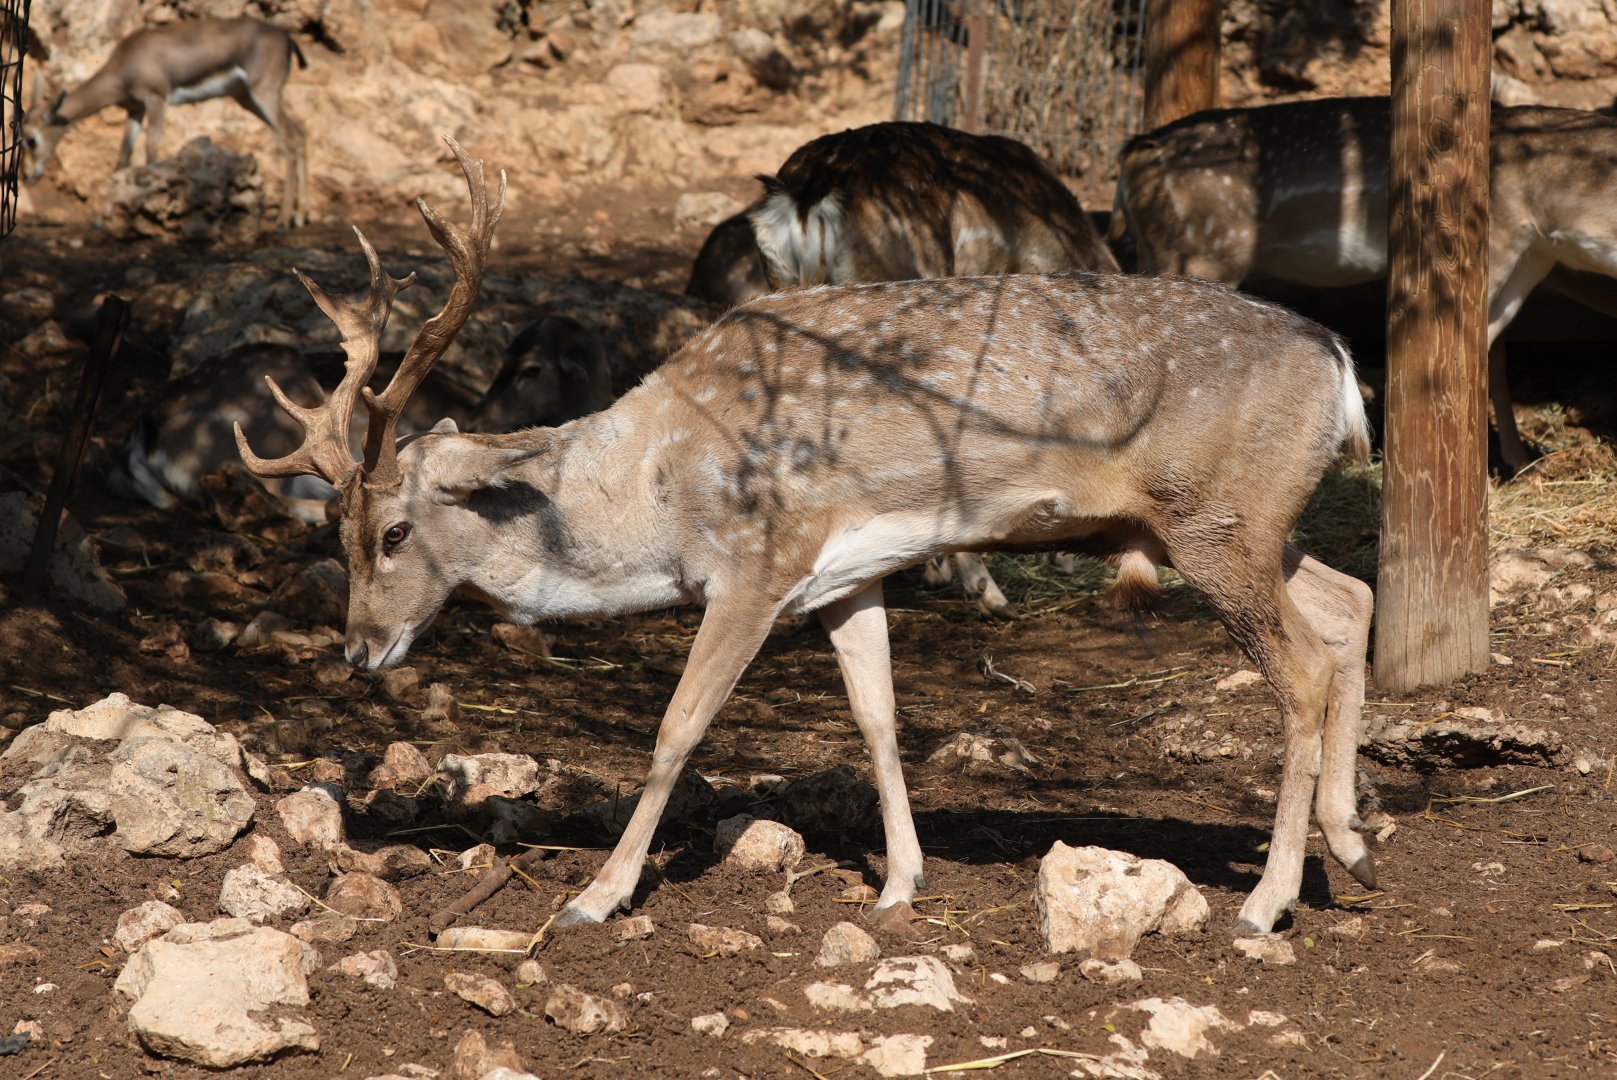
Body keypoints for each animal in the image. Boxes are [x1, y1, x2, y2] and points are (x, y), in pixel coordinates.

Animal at [22, 17, 309, 229]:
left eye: (31, 140)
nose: (28, 175)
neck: (124, 66)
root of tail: (286, 36)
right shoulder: (135, 109)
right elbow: (122, 160)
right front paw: (101, 220)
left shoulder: (157, 100)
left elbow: (151, 152)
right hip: (246, 97)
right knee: (300, 132)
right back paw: (301, 216)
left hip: (265, 93)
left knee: (289, 139)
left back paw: (284, 219)